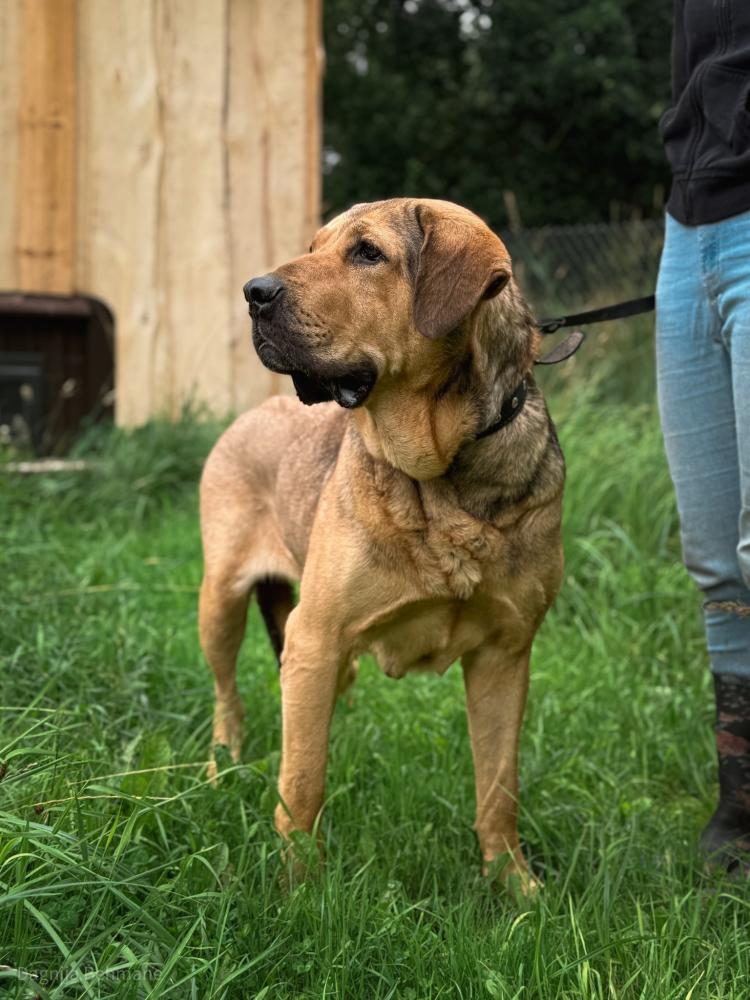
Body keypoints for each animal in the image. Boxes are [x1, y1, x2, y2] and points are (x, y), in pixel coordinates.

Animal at [199, 199, 564, 892]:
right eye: (313, 247)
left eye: (368, 253)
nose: (253, 293)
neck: (441, 475)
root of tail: (251, 414)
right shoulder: (316, 636)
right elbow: (302, 783)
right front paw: (299, 888)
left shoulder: (506, 654)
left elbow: (498, 787)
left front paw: (515, 886)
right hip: (225, 605)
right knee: (227, 697)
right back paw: (221, 764)